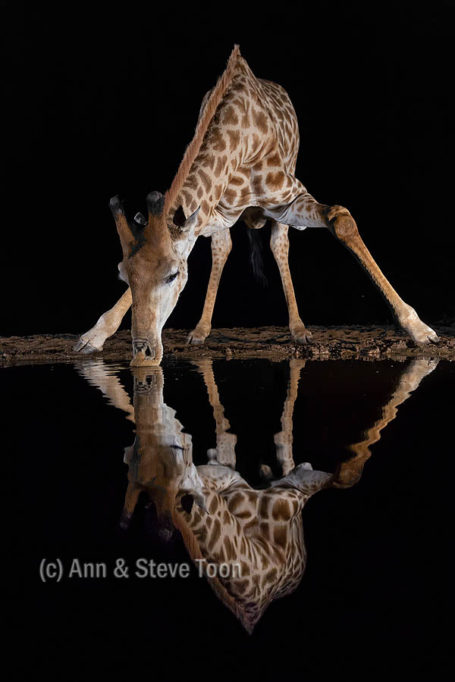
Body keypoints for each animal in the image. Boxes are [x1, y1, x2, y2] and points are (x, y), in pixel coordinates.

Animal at [74, 45, 438, 366]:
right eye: (123, 275)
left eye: (172, 275)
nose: (143, 355)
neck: (239, 139)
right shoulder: (211, 213)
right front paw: (92, 336)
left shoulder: (291, 198)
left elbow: (340, 219)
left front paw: (419, 329)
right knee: (223, 248)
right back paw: (200, 331)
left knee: (279, 245)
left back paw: (298, 330)